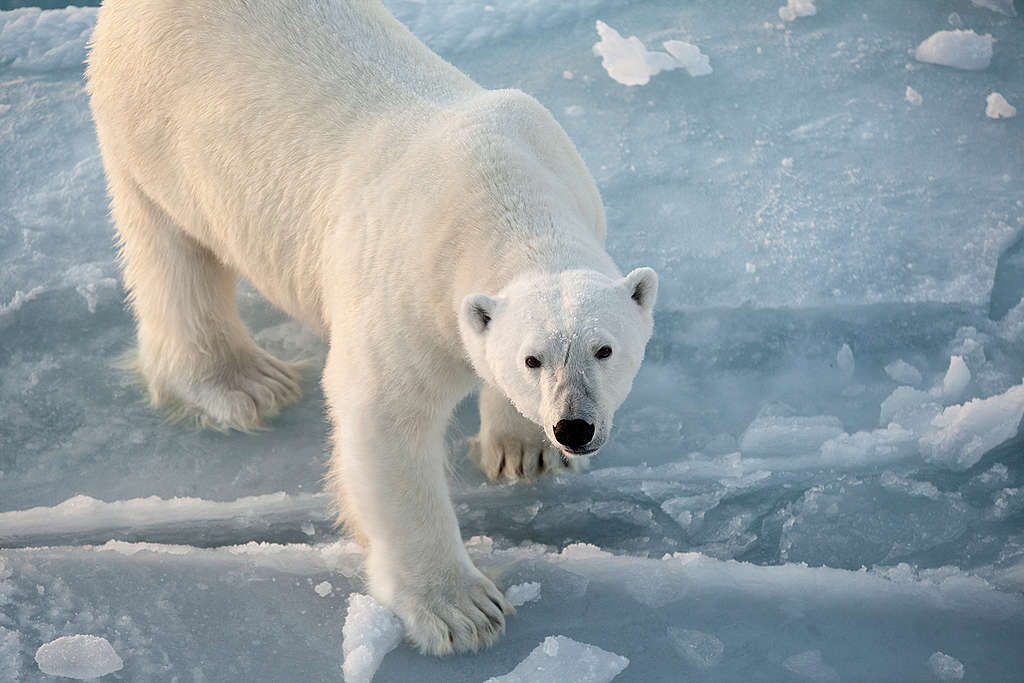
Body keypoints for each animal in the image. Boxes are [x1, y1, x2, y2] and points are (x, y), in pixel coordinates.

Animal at [88, 0, 655, 655]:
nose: (573, 427)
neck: (504, 198)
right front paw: (462, 611)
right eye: (533, 358)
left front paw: (526, 452)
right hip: (152, 129)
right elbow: (386, 421)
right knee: (174, 254)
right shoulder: (407, 284)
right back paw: (245, 383)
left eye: (604, 349)